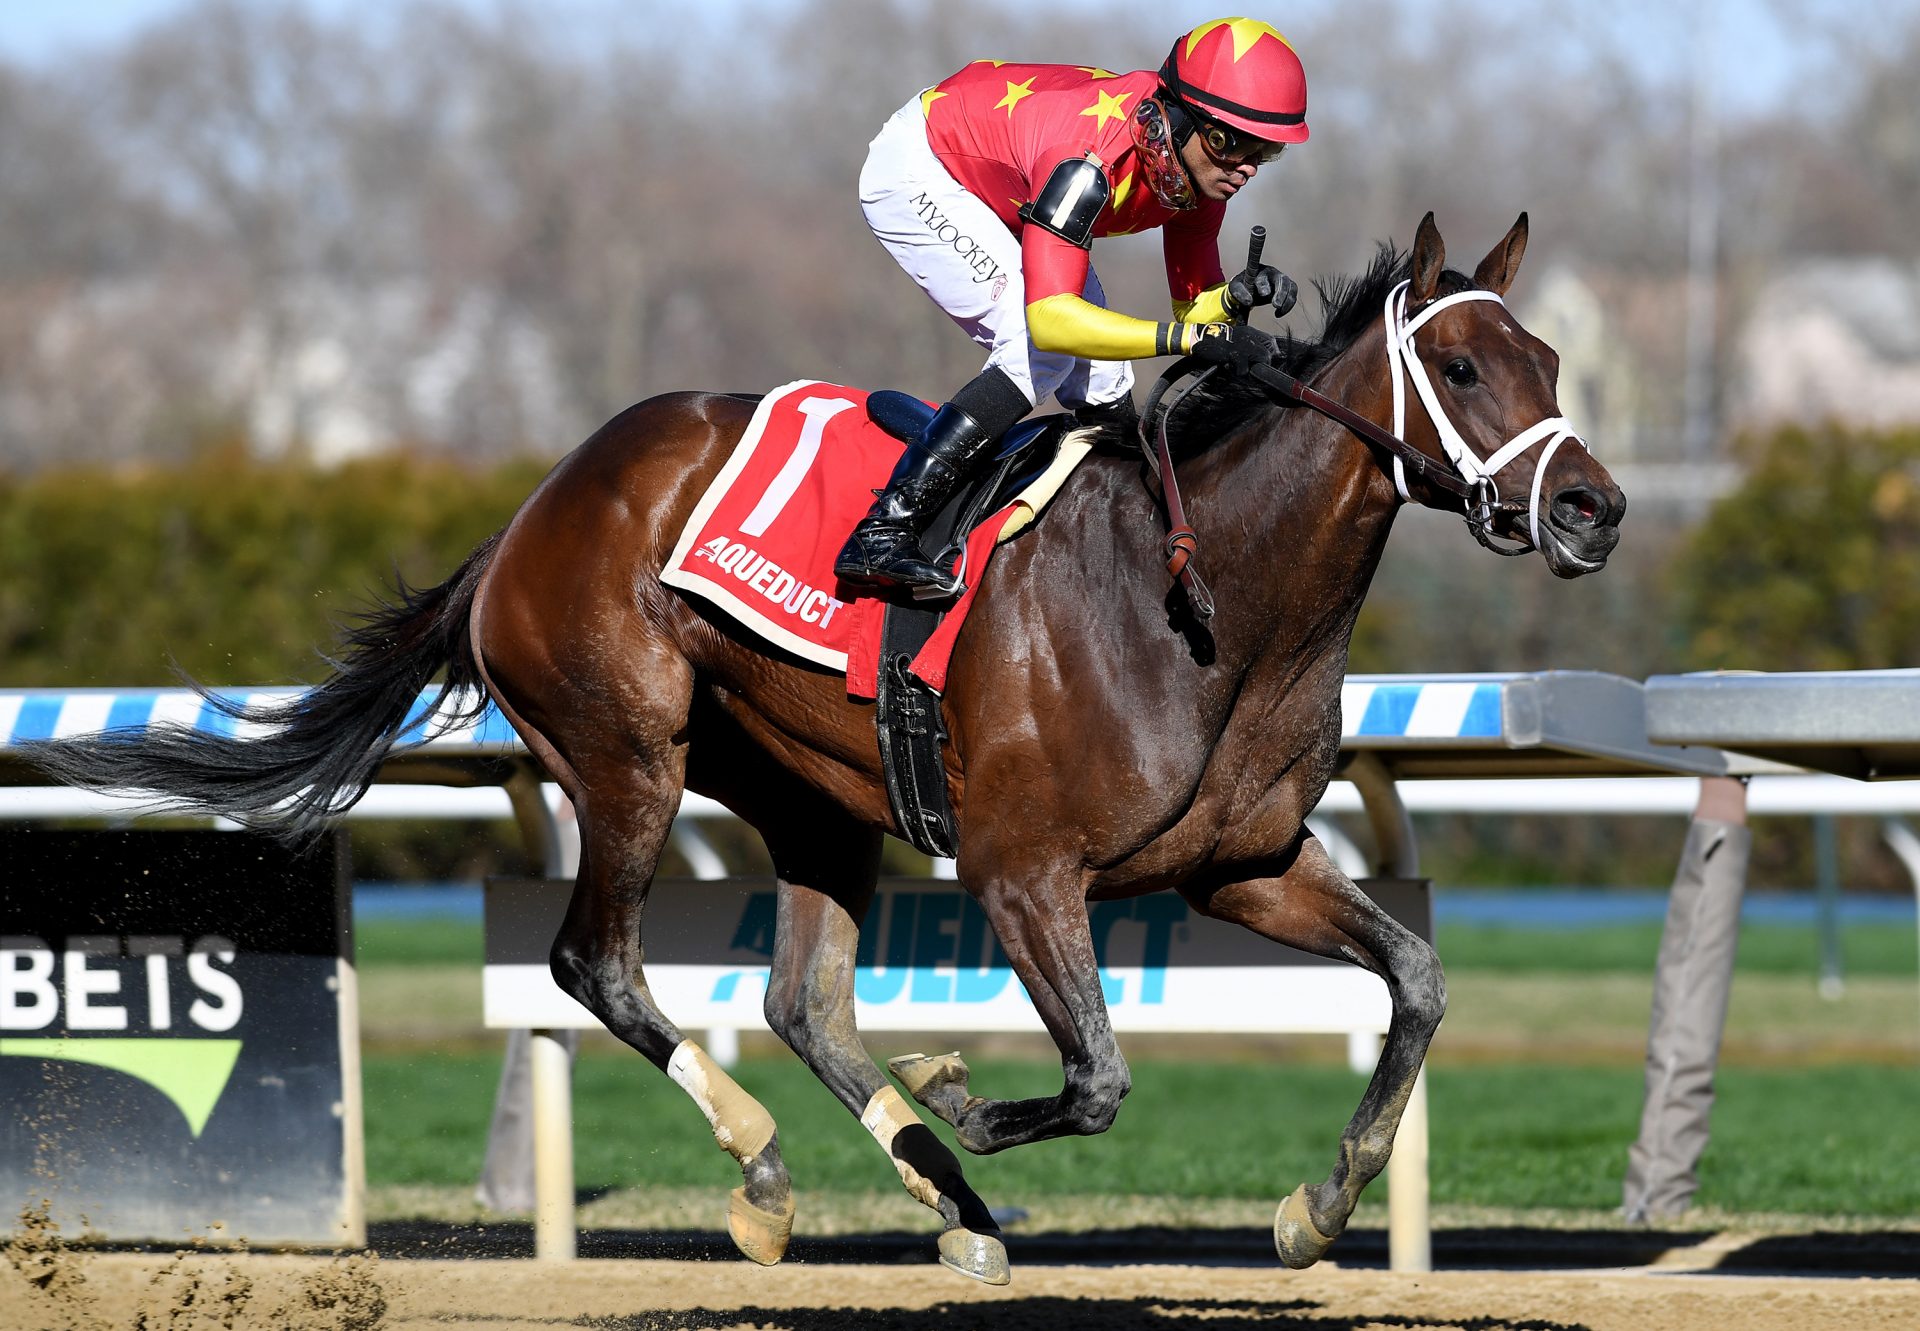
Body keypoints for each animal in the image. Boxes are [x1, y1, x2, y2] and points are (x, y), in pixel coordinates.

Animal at [30, 210, 1620, 1290]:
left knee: (800, 1000)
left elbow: (1415, 978)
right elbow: (1098, 1076)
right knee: (596, 964)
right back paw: (773, 1173)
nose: (1594, 508)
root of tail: (533, 509)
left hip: (811, 795)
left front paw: (1319, 1201)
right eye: (1462, 362)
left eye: (1549, 356)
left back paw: (946, 1202)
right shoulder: (1024, 869)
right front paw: (965, 1090)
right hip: (628, 752)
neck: (1212, 598)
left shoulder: (1247, 863)